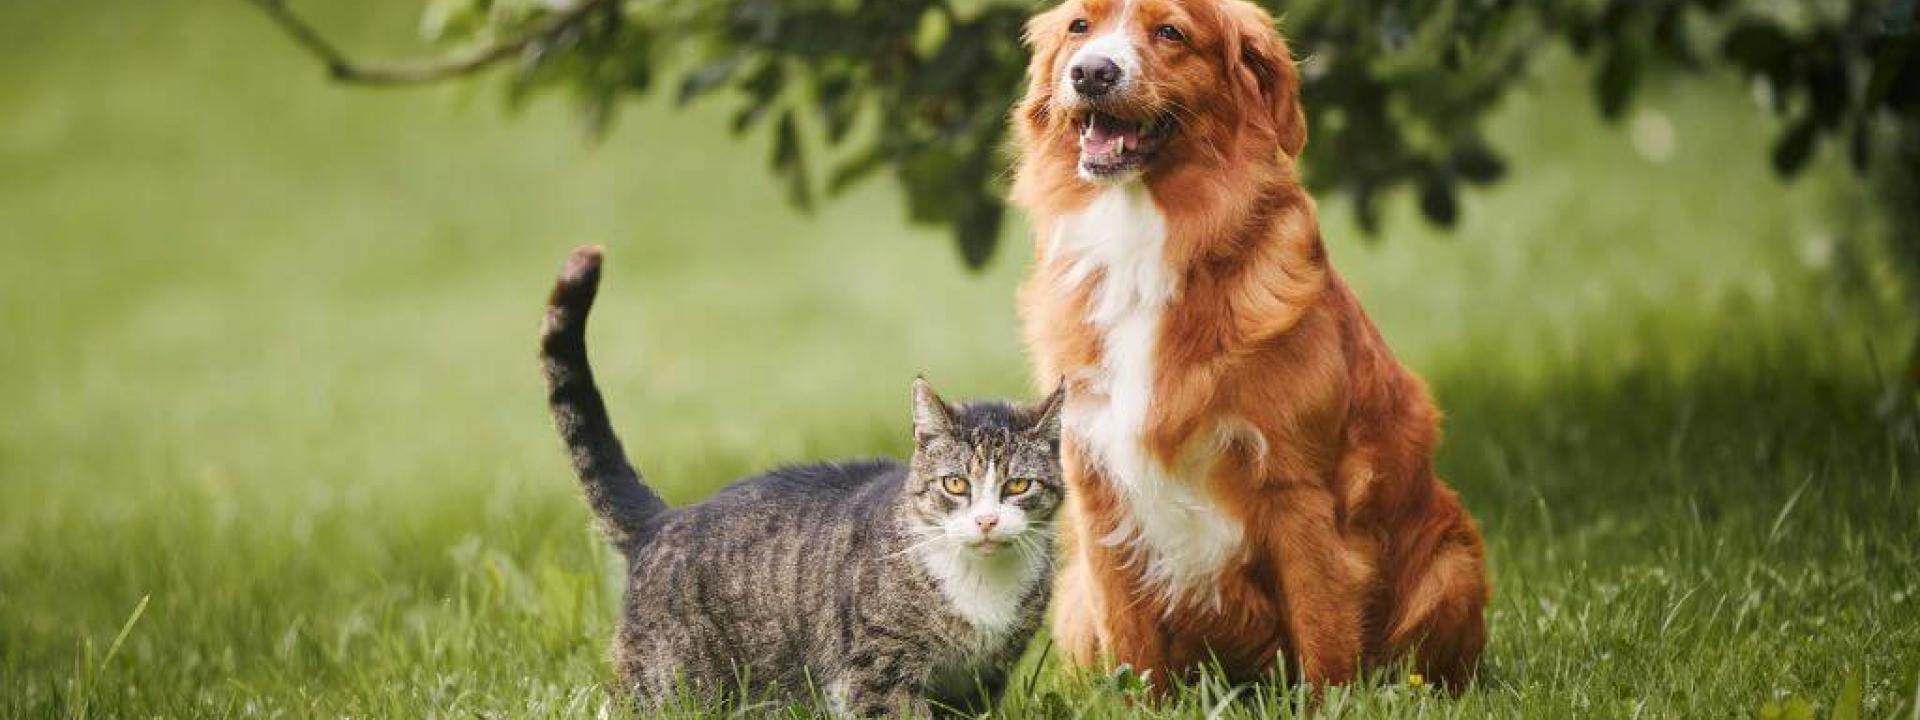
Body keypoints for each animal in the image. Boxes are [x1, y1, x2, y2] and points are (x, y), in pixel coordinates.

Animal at [541, 247, 1067, 718]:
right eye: (955, 485)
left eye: (1018, 486)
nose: (987, 521)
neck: (982, 591)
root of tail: (665, 518)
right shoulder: (877, 673)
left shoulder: (982, 680)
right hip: (668, 682)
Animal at [1013, 0, 1489, 695]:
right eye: (1079, 28)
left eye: (1170, 32)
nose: (1092, 72)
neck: (1144, 240)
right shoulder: (1096, 484)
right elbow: (1131, 646)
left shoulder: (1297, 488)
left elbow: (1323, 635)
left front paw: (1330, 704)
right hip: (1074, 599)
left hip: (1452, 563)